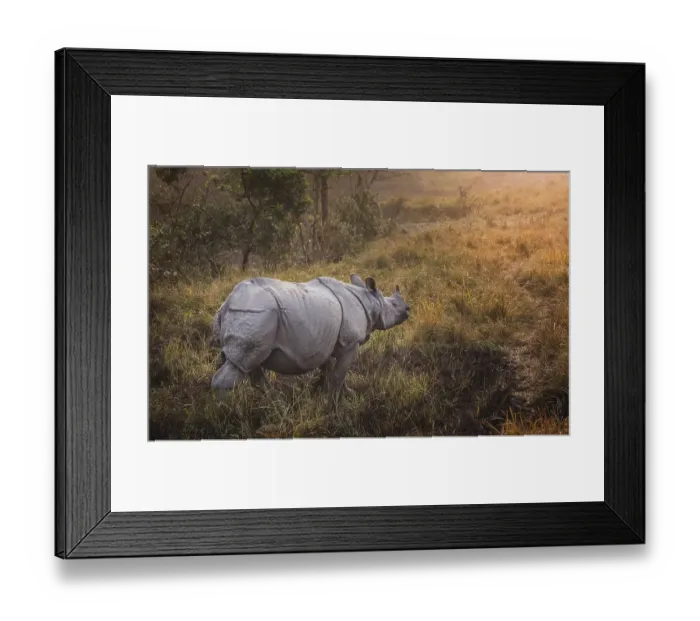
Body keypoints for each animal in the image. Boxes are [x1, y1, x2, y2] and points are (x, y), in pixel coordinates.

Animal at [210, 273, 410, 398]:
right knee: (240, 364)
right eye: (393, 305)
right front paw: (334, 401)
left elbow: (330, 371)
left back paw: (275, 401)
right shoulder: (351, 343)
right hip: (254, 312)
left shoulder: (328, 341)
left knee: (249, 364)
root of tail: (226, 304)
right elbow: (339, 374)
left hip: (251, 314)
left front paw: (332, 393)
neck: (370, 301)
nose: (408, 309)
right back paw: (223, 410)